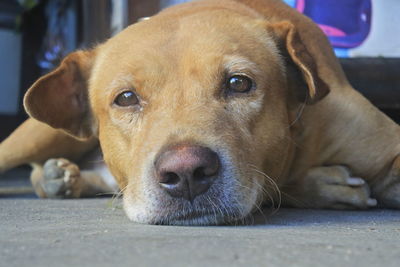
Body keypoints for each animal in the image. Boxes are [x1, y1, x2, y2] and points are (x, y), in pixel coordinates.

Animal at [0, 0, 400, 226]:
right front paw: (326, 186)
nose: (186, 172)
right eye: (126, 98)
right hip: (40, 133)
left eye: (239, 83)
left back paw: (59, 179)